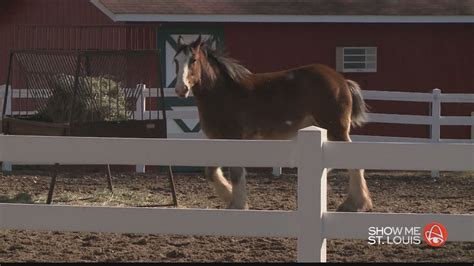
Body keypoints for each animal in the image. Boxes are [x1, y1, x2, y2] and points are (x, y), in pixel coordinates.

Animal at [174, 35, 374, 212]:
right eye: (176, 60)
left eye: (193, 60)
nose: (180, 89)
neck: (222, 93)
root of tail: (342, 80)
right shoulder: (218, 141)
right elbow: (211, 171)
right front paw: (229, 196)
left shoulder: (234, 138)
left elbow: (236, 173)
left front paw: (237, 204)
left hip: (336, 129)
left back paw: (355, 205)